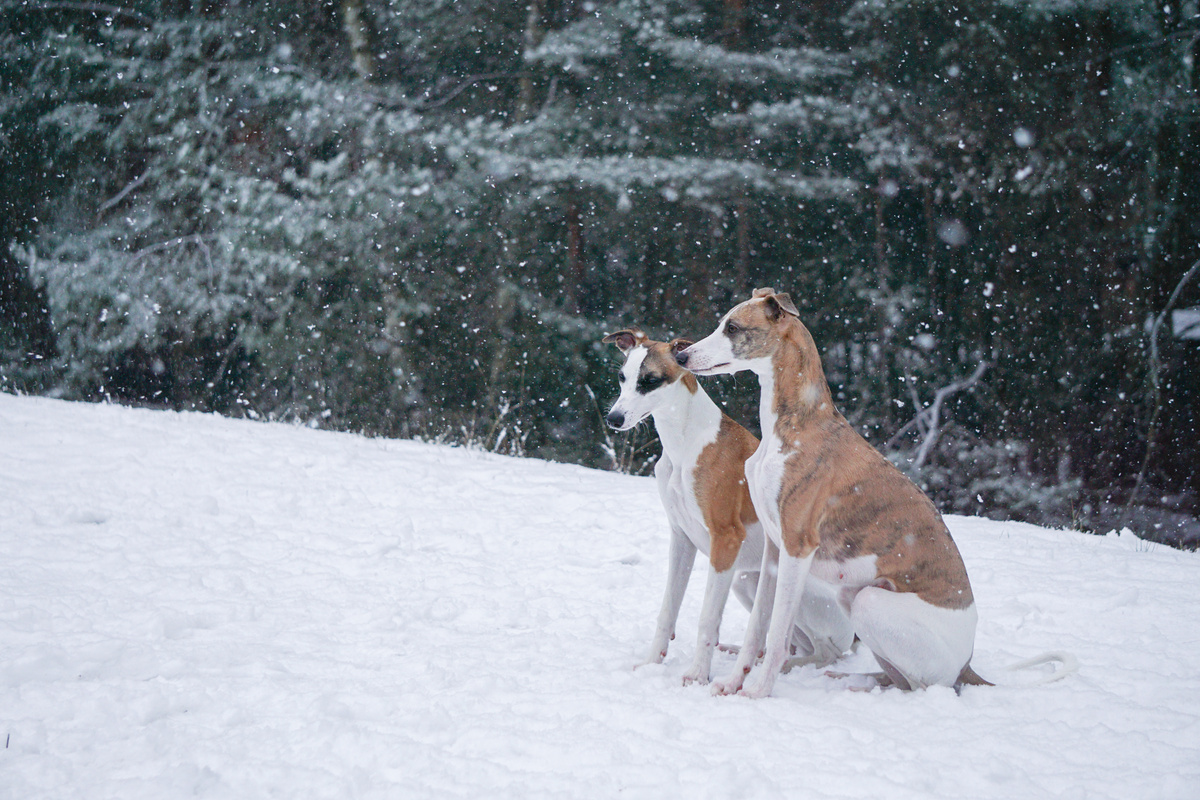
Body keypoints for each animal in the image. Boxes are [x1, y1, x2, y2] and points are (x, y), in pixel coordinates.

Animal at [604, 328, 849, 686]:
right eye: (622, 377)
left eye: (650, 380)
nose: (614, 419)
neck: (686, 443)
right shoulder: (681, 538)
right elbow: (667, 610)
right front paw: (651, 663)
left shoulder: (726, 539)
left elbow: (707, 618)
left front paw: (697, 675)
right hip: (747, 580)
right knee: (791, 643)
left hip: (790, 589)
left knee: (822, 650)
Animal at [681, 291, 988, 695]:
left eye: (732, 328)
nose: (682, 356)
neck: (796, 424)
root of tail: (967, 662)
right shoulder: (775, 548)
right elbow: (757, 628)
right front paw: (732, 683)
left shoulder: (798, 546)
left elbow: (777, 636)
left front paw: (758, 692)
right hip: (851, 594)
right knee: (897, 679)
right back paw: (850, 681)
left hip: (871, 603)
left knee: (923, 687)